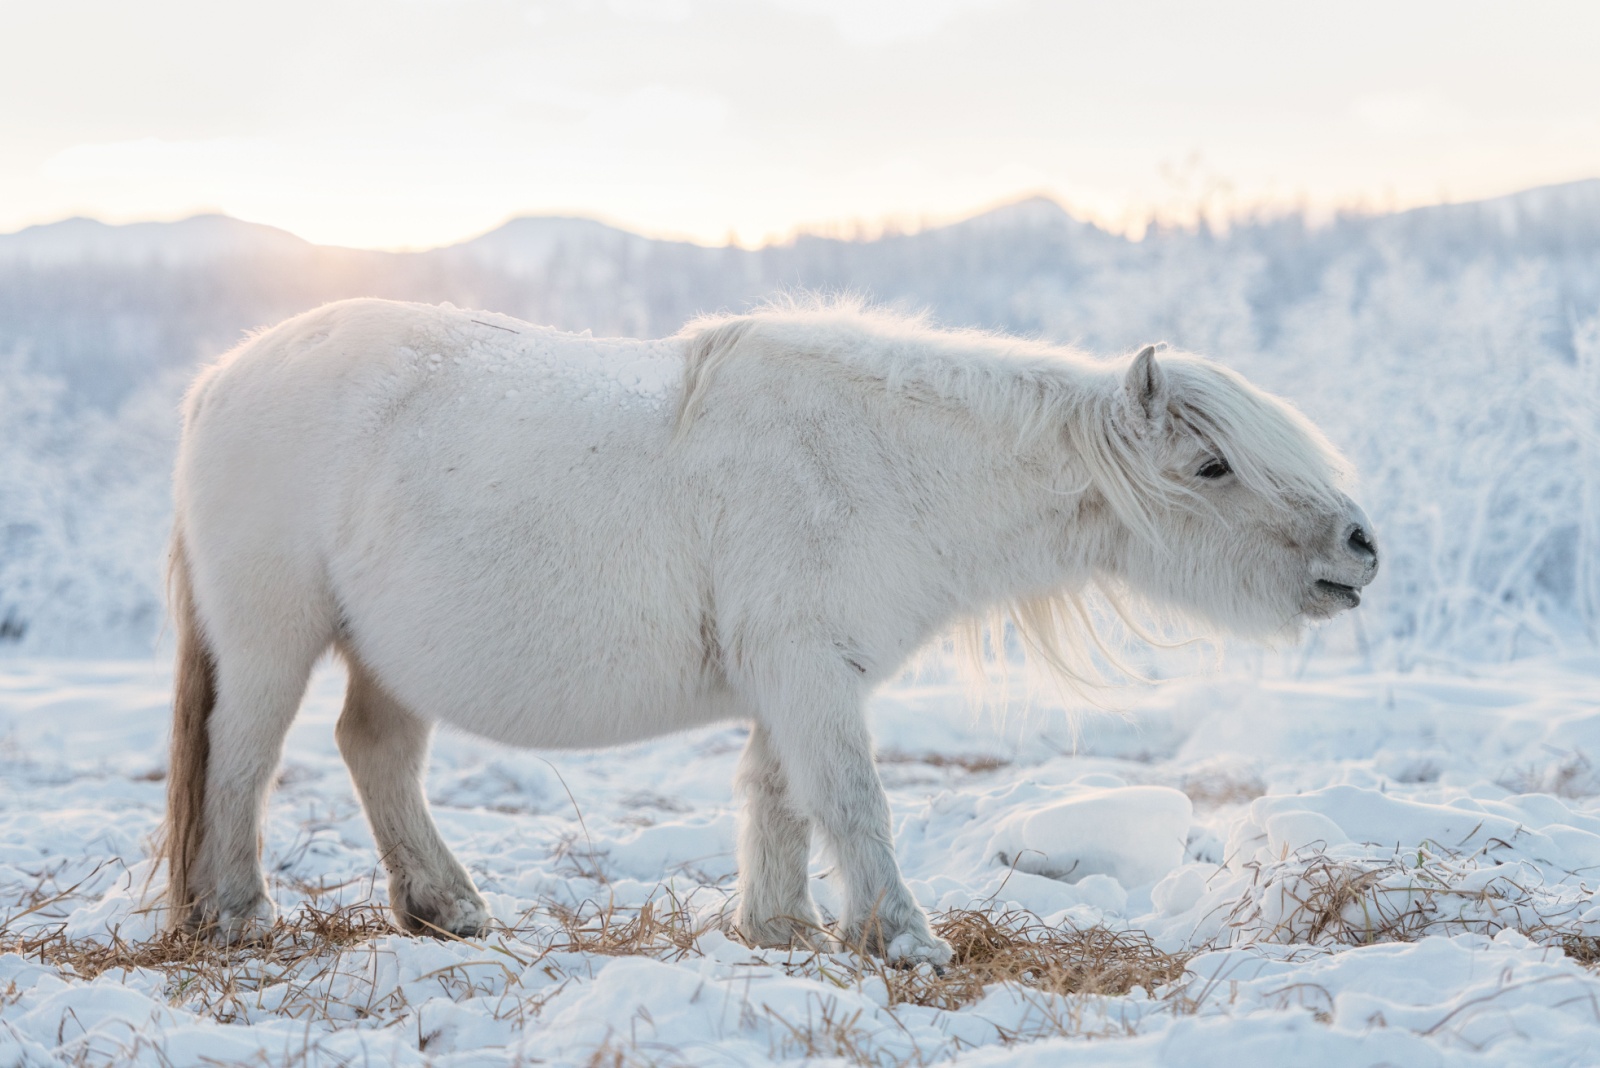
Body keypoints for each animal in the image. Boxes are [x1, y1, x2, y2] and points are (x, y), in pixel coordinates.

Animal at [162, 298, 1376, 959]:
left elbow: (780, 799)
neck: (881, 464)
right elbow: (850, 800)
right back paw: (241, 915)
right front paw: (902, 939)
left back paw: (447, 907)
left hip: (389, 656)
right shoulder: (806, 669)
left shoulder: (805, 674)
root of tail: (222, 378)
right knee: (243, 762)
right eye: (1213, 466)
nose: (1362, 547)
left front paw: (783, 930)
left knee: (375, 753)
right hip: (273, 640)